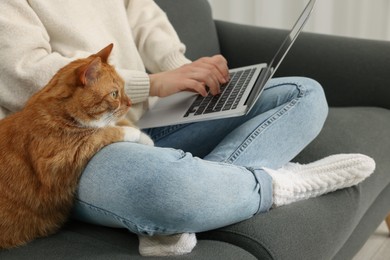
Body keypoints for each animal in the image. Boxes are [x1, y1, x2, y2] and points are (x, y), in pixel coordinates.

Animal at [0, 43, 152, 249]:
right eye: (114, 93)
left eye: (124, 88)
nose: (129, 103)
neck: (59, 112)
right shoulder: (63, 158)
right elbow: (104, 132)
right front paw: (134, 133)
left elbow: (115, 124)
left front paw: (146, 138)